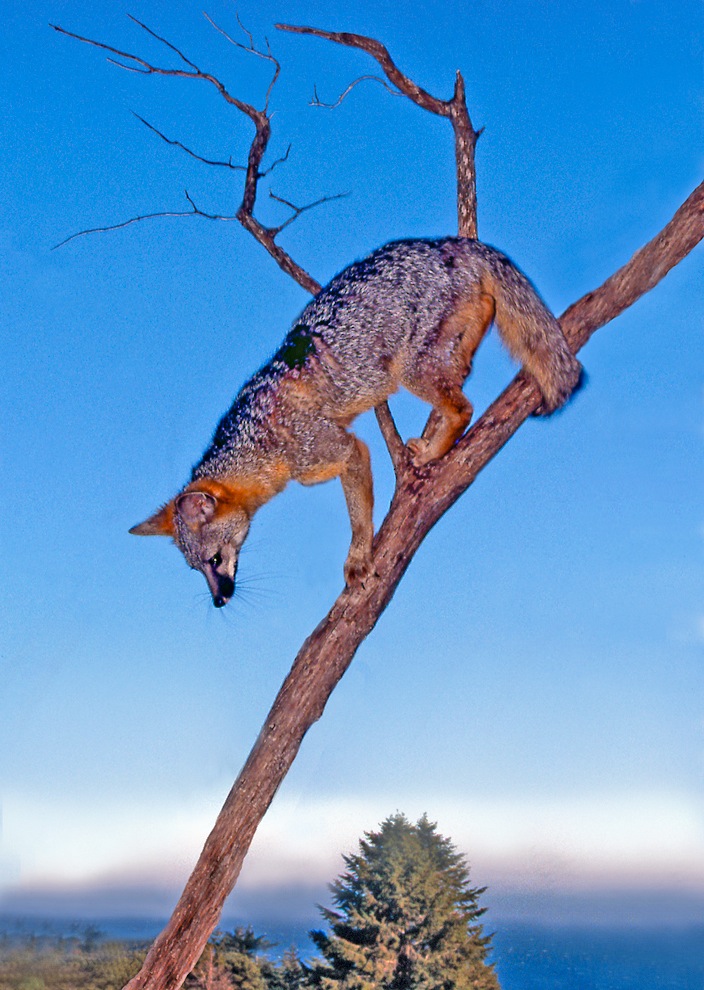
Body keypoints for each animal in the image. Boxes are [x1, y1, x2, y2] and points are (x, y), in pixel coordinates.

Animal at [129, 240, 580, 608]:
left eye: (215, 559)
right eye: (197, 569)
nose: (219, 601)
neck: (257, 442)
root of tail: (449, 243)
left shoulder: (343, 451)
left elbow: (359, 519)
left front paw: (359, 559)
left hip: (409, 370)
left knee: (463, 409)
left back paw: (433, 451)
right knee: (475, 338)